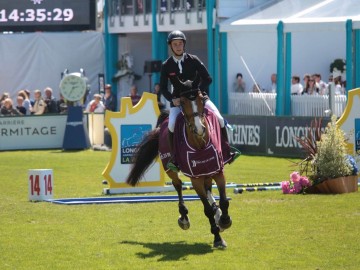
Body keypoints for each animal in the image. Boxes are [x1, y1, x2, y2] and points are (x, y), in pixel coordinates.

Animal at [126, 75, 233, 248]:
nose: (199, 129)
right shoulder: (195, 179)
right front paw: (217, 236)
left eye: (201, 99)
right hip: (170, 168)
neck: (200, 143)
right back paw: (184, 217)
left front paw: (224, 220)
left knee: (208, 189)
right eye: (182, 102)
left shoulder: (217, 171)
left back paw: (217, 213)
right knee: (178, 185)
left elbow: (223, 201)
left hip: (207, 172)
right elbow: (206, 210)